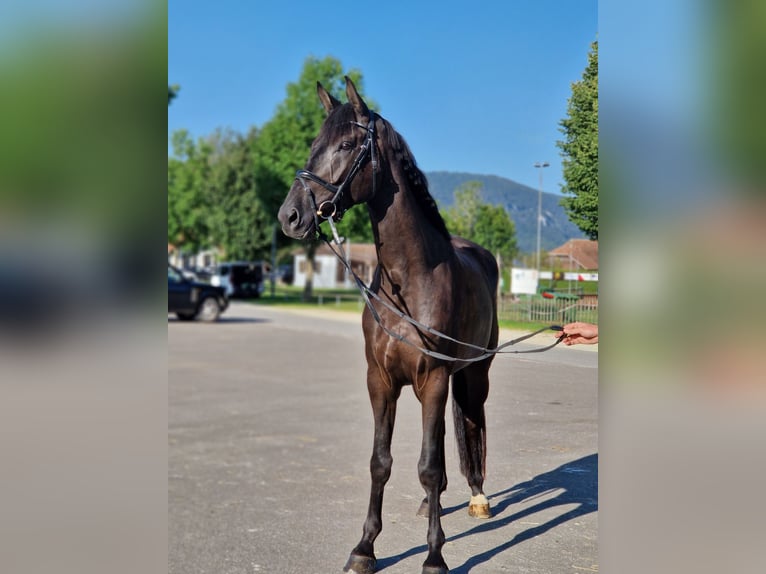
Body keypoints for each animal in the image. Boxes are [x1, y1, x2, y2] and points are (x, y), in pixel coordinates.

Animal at [280, 77, 500, 574]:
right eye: (313, 143)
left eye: (346, 144)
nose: (290, 216)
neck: (410, 280)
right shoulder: (380, 381)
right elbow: (381, 461)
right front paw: (365, 548)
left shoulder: (434, 377)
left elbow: (429, 465)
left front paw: (435, 555)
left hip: (474, 374)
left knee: (471, 423)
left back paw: (477, 497)